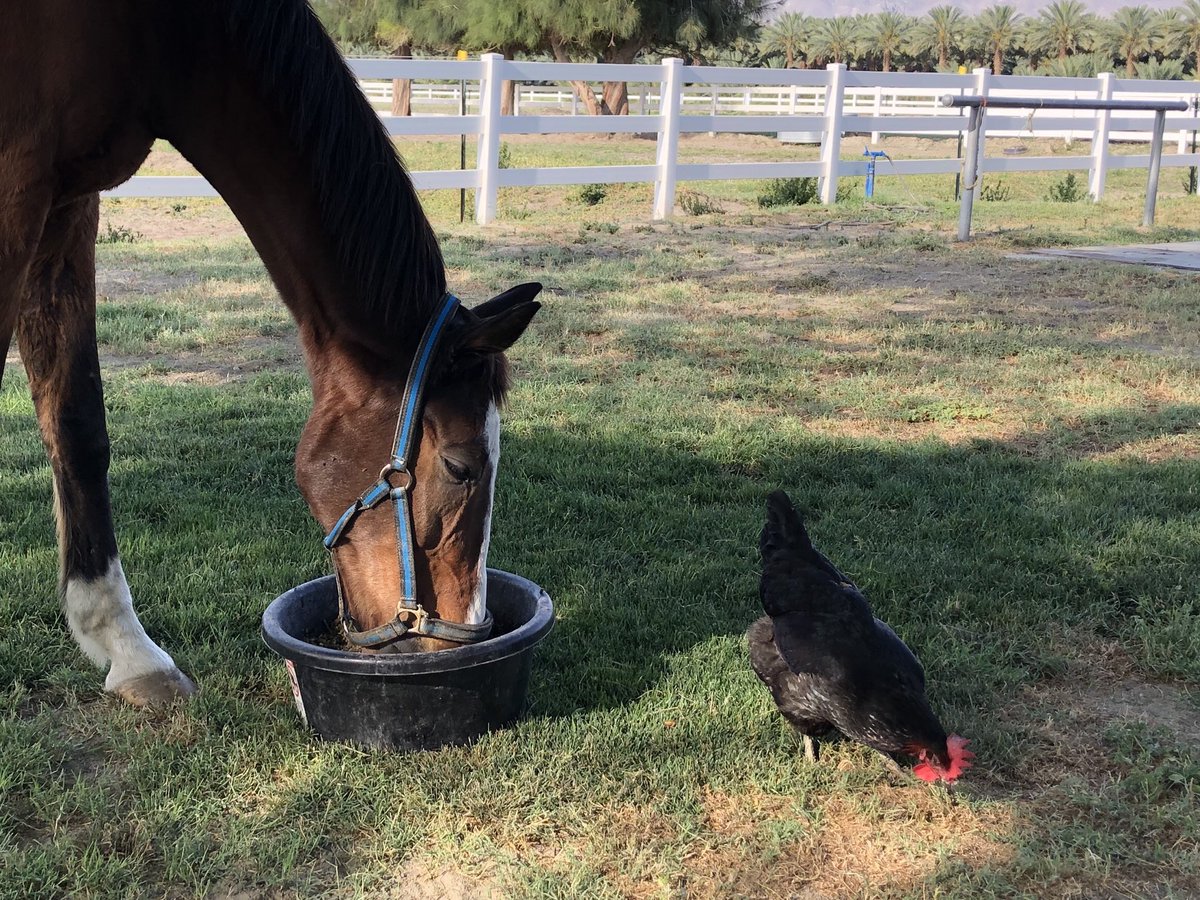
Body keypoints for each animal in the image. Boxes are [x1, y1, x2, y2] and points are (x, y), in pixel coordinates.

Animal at [0, 0, 542, 705]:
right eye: (460, 467)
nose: (459, 636)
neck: (151, 31)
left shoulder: (66, 201)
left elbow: (78, 428)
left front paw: (127, 650)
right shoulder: (17, 187)